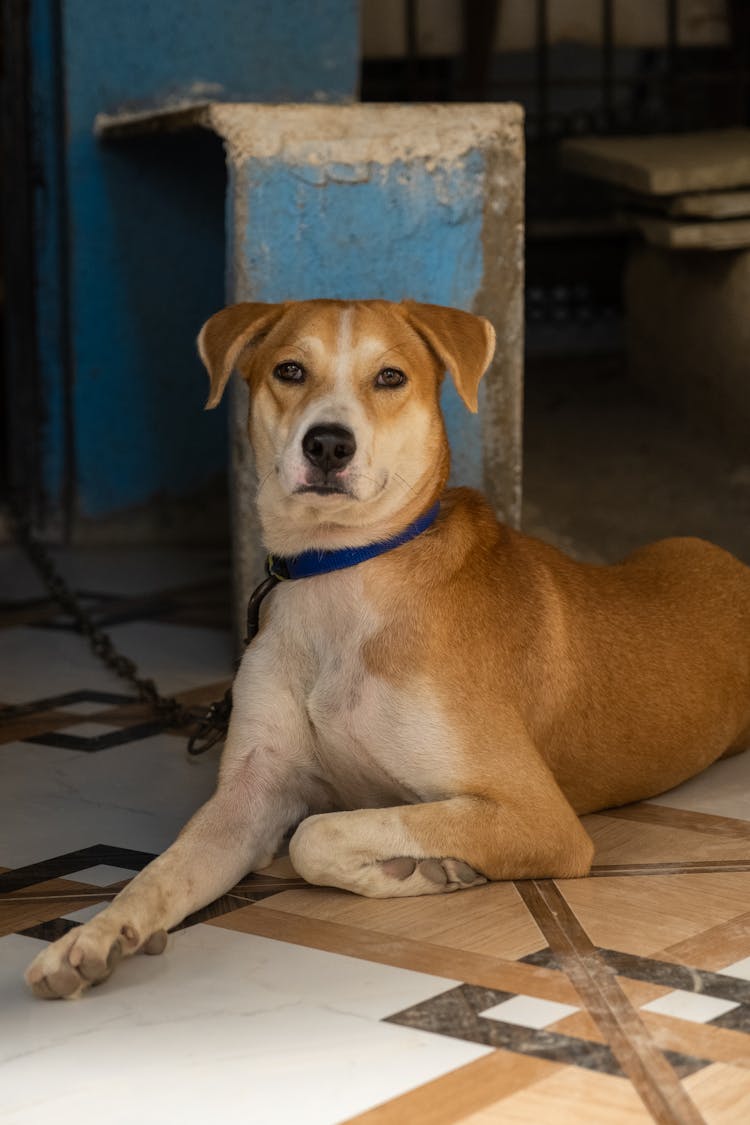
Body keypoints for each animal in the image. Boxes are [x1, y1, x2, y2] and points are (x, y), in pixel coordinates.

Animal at [26, 294, 750, 999]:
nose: (328, 444)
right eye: (290, 370)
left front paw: (424, 871)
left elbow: (315, 835)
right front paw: (95, 936)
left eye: (390, 377)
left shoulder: (540, 818)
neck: (342, 573)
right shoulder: (249, 795)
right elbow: (163, 870)